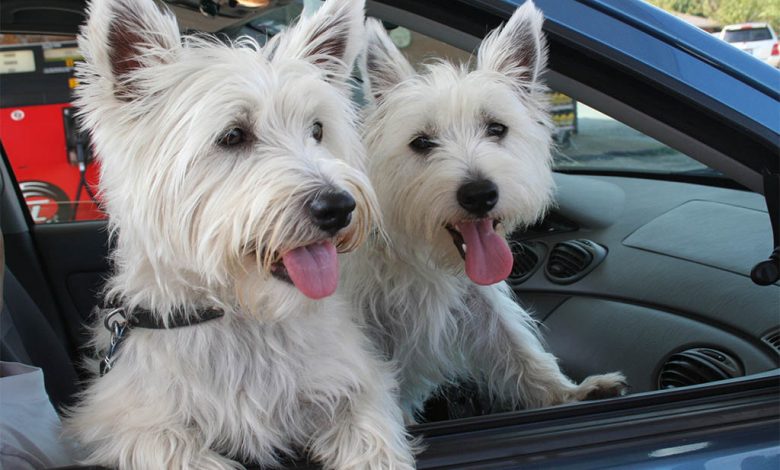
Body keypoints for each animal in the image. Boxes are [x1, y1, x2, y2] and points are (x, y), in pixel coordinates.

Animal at [64, 0, 418, 468]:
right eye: (233, 135)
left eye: (317, 130)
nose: (339, 207)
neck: (242, 319)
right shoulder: (122, 421)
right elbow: (172, 446)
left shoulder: (357, 382)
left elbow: (372, 436)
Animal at [348, 1, 628, 422]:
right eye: (422, 142)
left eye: (496, 128)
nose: (480, 194)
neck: (421, 257)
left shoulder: (476, 299)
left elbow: (515, 344)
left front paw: (569, 393)